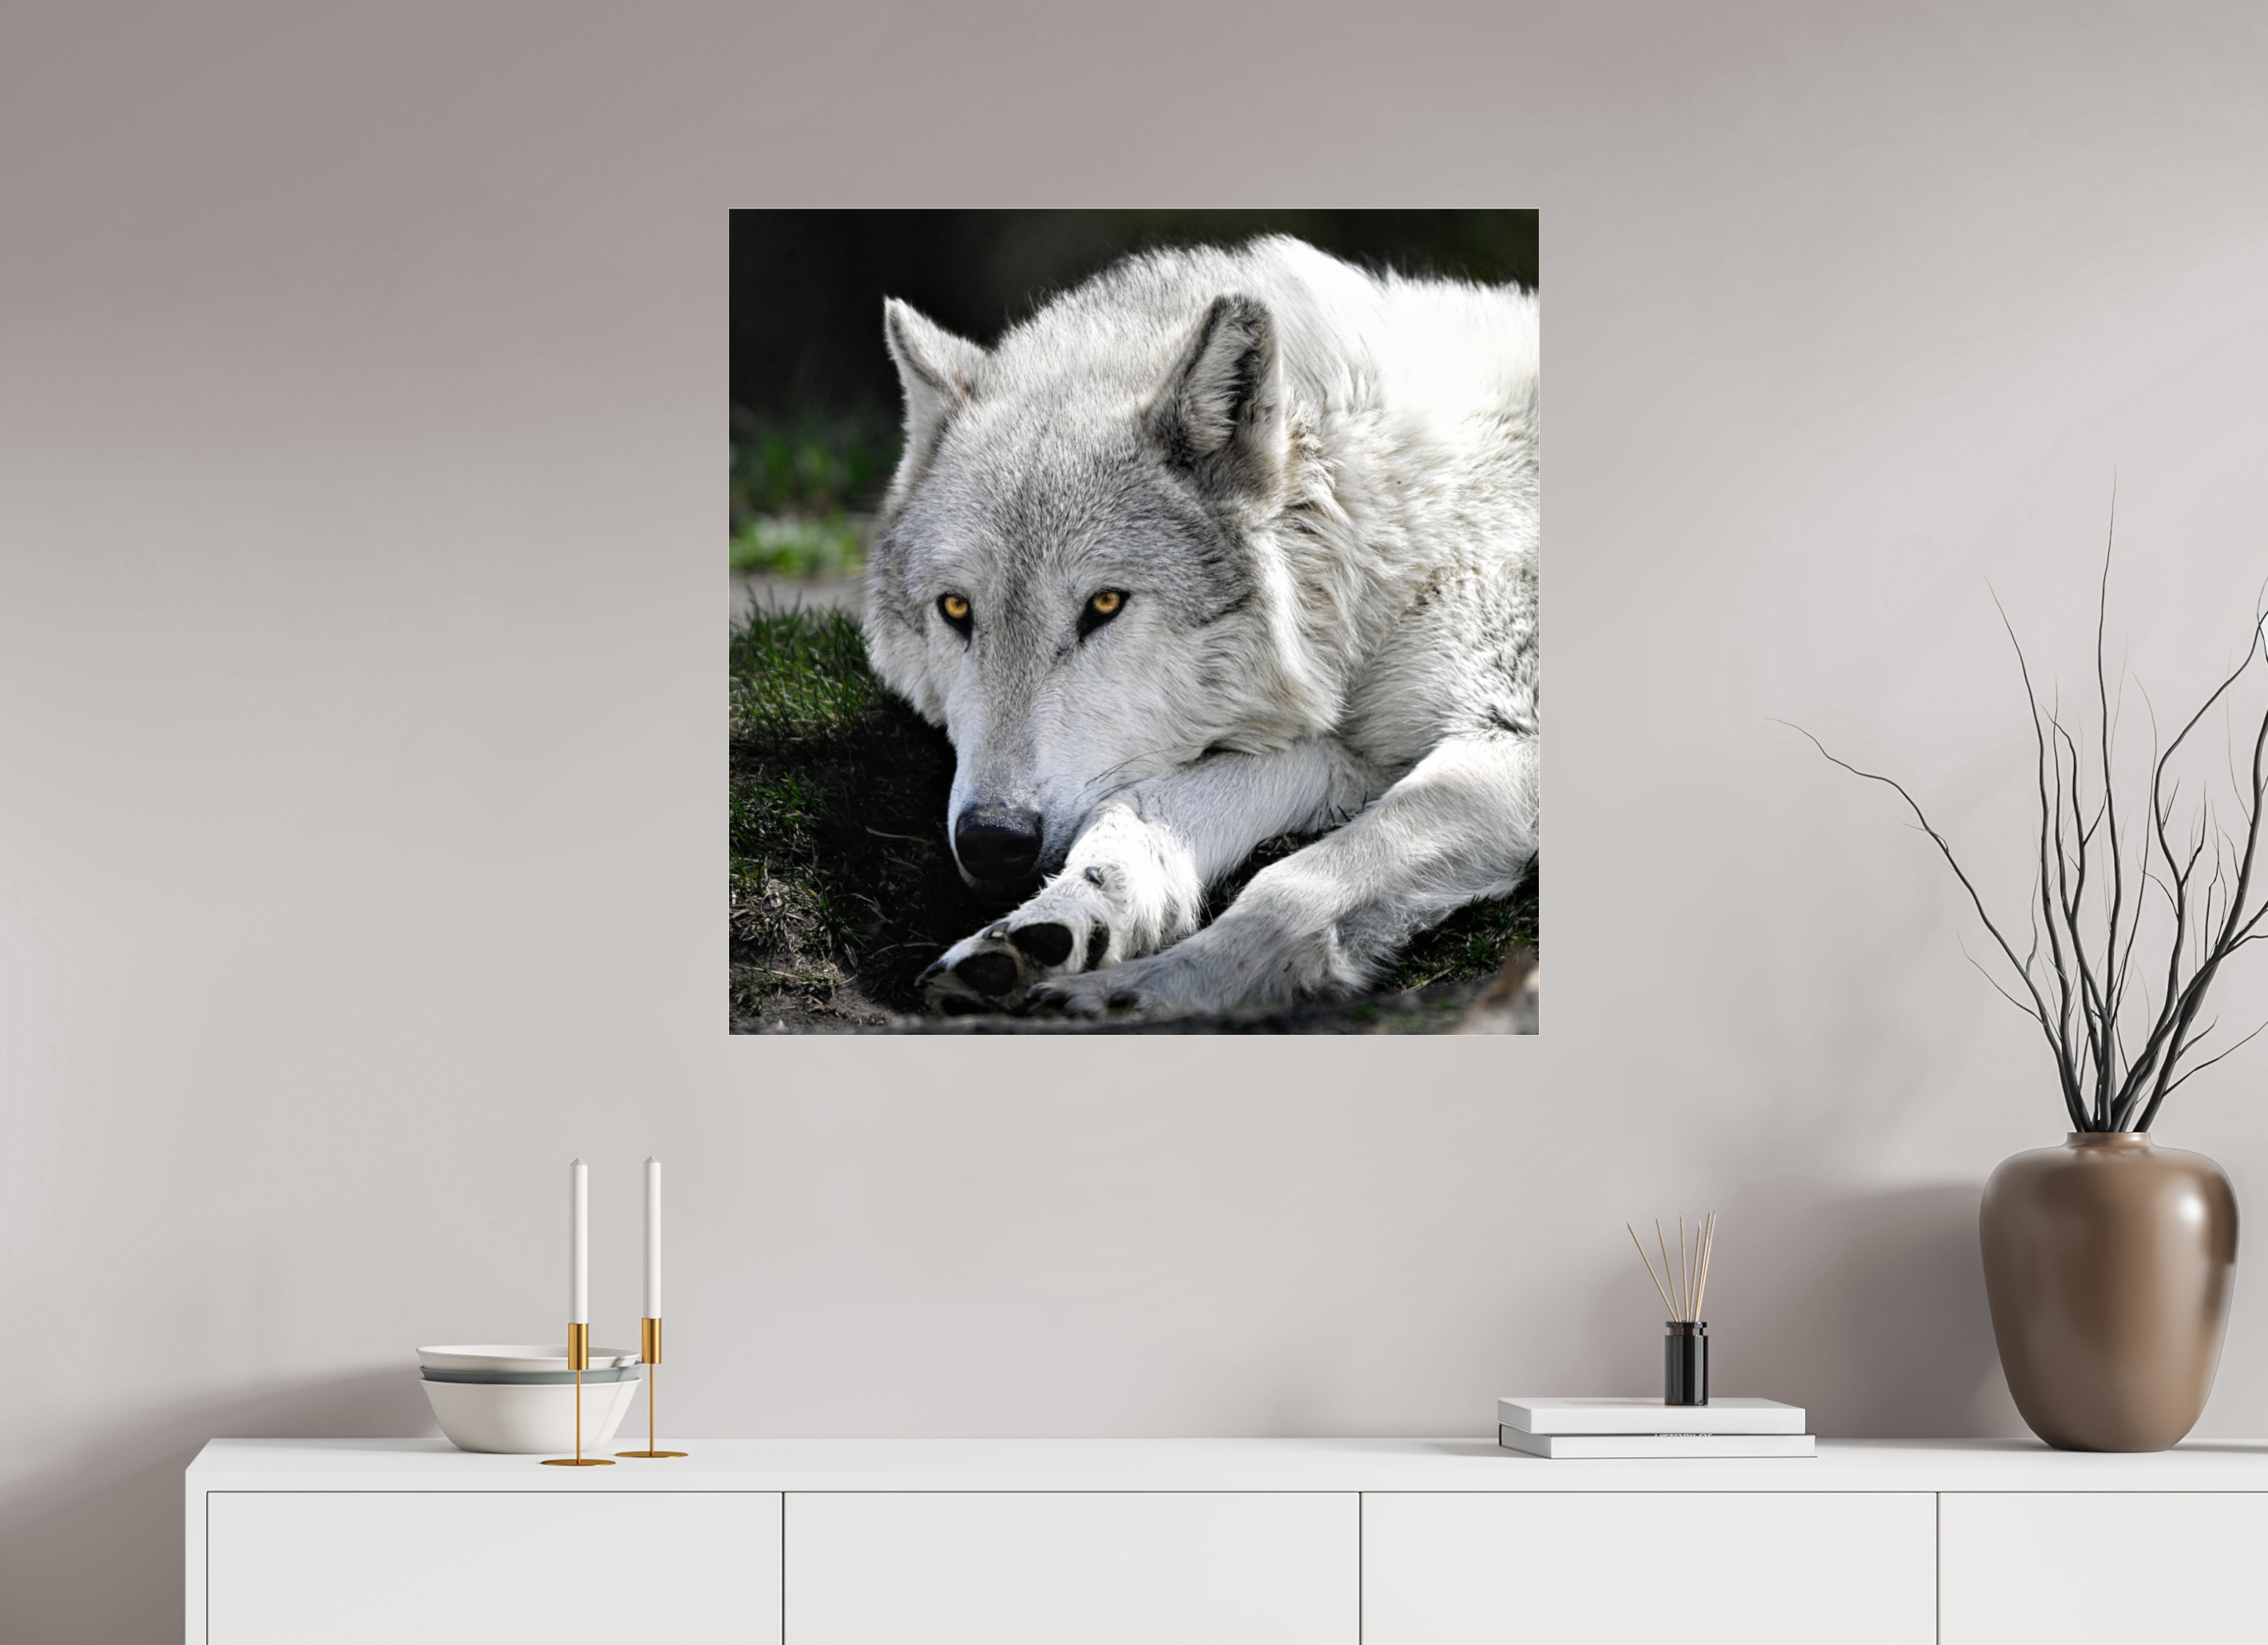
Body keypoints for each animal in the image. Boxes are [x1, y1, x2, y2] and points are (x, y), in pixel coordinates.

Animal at [863, 235, 1538, 1019]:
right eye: (956, 610)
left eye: (1105, 605)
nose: (990, 841)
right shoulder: (1350, 754)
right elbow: (1136, 808)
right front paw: (1060, 922)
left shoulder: (1510, 739)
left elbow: (1294, 882)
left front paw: (1144, 993)